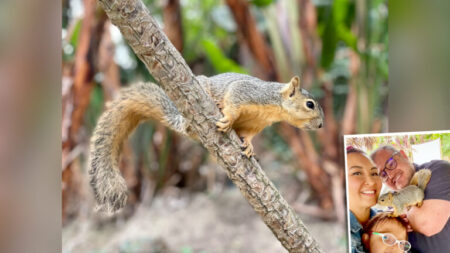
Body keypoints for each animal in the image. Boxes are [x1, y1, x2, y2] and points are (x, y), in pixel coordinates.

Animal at [89, 72, 324, 212]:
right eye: (310, 104)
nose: (321, 125)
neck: (274, 106)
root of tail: (180, 120)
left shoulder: (256, 125)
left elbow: (248, 135)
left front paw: (249, 146)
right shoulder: (245, 92)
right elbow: (233, 104)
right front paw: (227, 117)